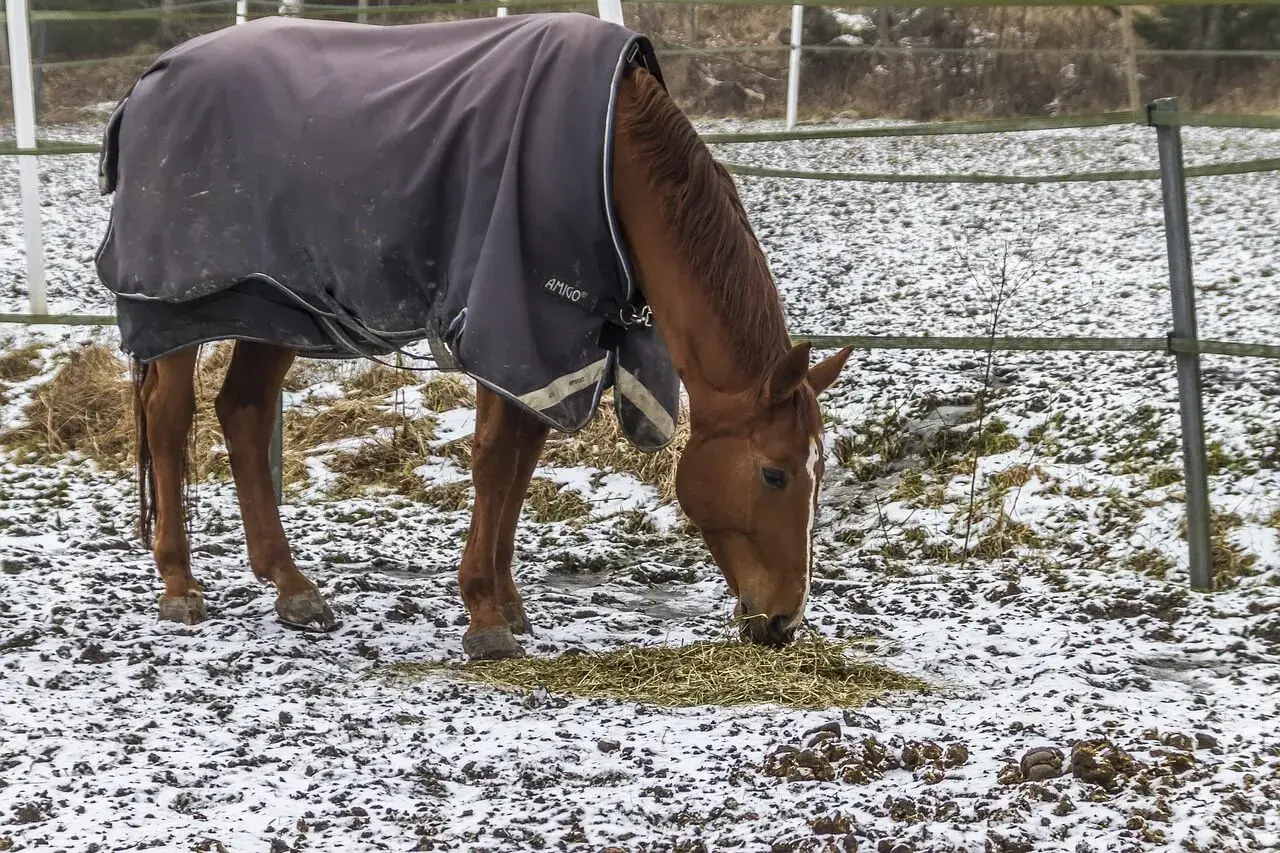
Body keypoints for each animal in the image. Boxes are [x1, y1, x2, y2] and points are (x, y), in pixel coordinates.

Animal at [100, 13, 853, 660]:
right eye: (775, 472)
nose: (783, 620)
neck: (613, 158)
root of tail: (149, 80)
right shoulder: (510, 324)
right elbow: (494, 461)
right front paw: (485, 616)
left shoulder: (558, 349)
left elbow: (521, 463)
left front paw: (507, 601)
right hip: (181, 309)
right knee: (169, 420)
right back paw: (179, 584)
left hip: (276, 305)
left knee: (244, 413)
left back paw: (292, 586)